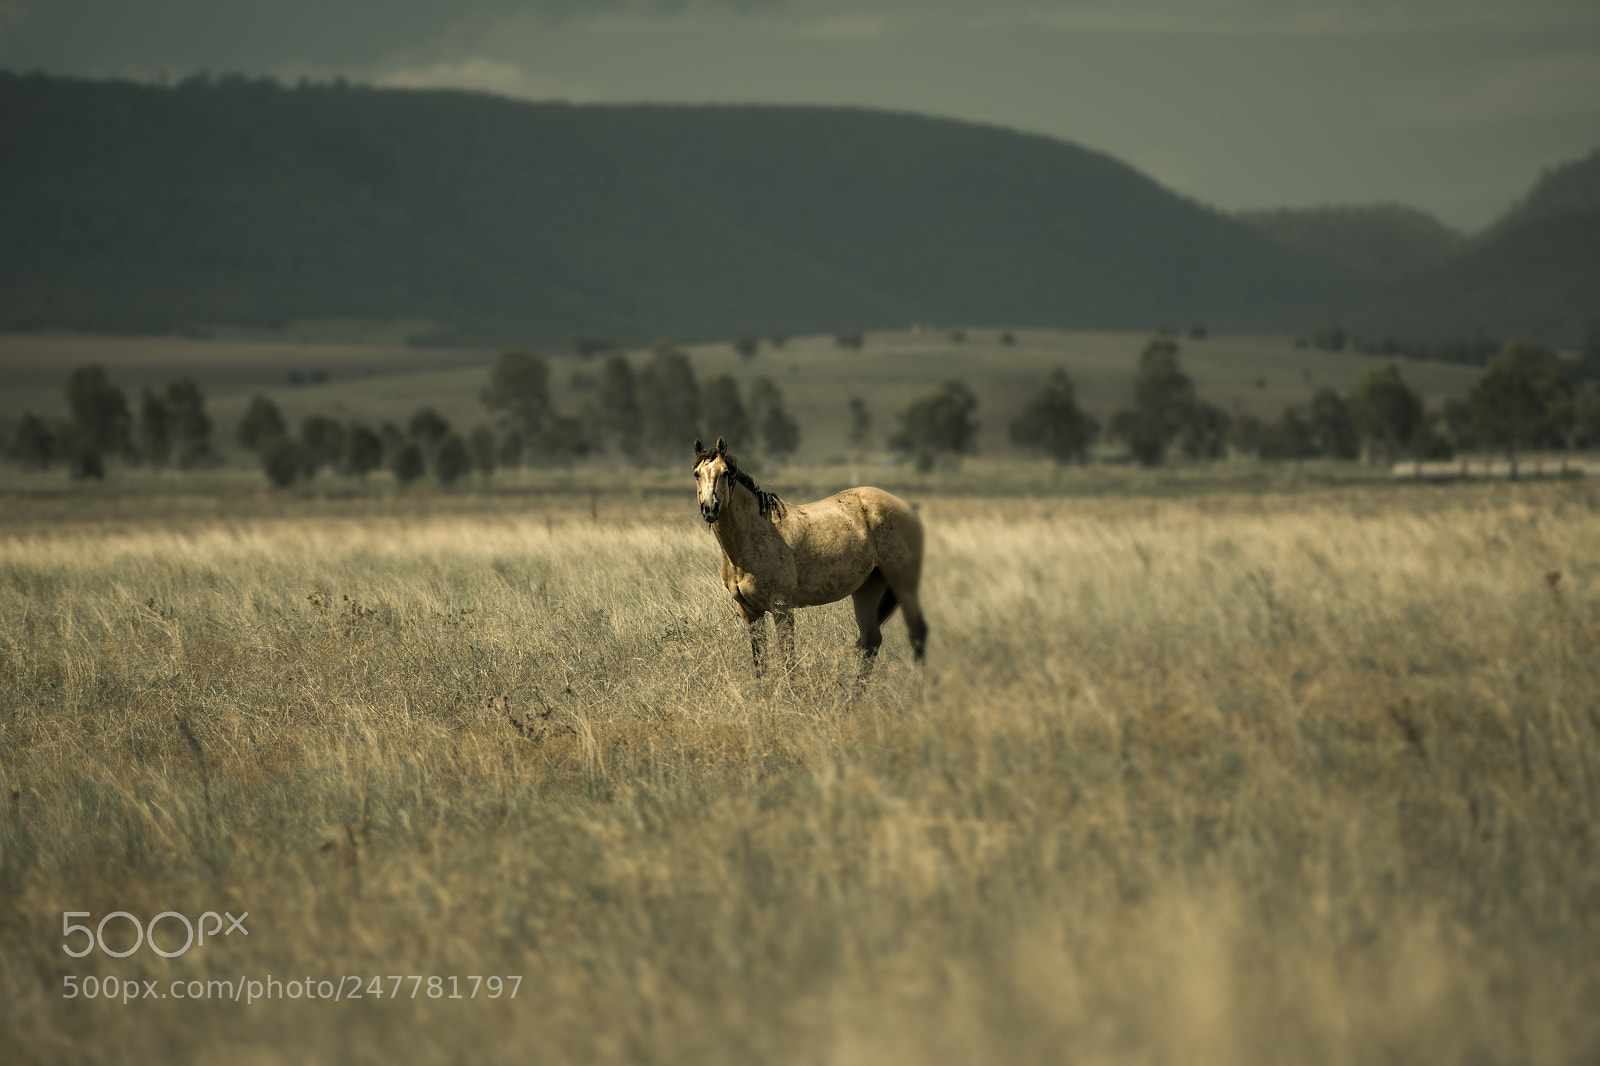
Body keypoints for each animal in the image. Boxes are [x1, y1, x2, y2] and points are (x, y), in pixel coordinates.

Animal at [692, 434, 928, 678]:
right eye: (697, 474)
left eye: (724, 473)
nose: (710, 509)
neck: (754, 536)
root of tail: (908, 508)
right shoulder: (750, 611)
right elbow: (760, 664)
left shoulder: (781, 607)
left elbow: (788, 658)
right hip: (868, 589)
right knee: (871, 641)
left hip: (904, 585)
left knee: (917, 633)